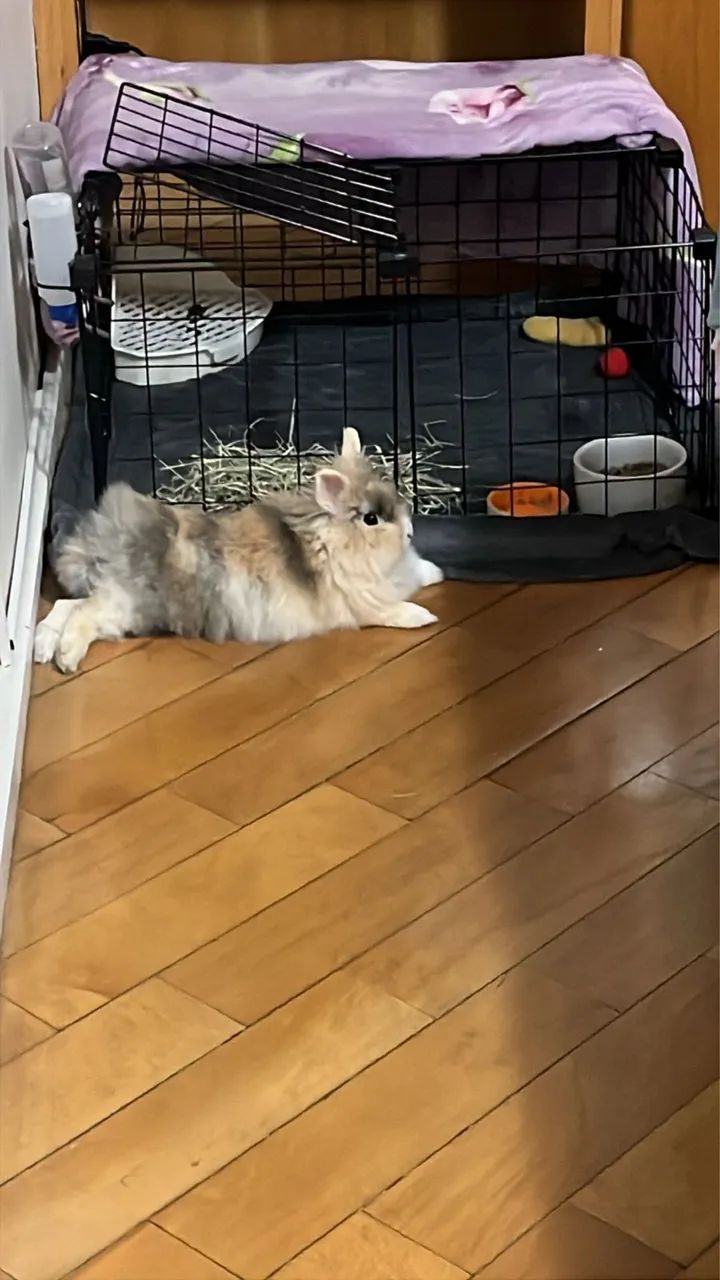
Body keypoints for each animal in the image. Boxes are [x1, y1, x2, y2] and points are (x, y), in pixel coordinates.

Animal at [35, 427, 444, 674]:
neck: (330, 543)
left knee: (66, 606)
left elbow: (420, 573)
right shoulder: (361, 602)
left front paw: (436, 573)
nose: (410, 532)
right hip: (128, 603)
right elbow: (391, 612)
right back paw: (66, 659)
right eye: (371, 519)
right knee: (83, 613)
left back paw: (42, 648)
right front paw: (425, 616)